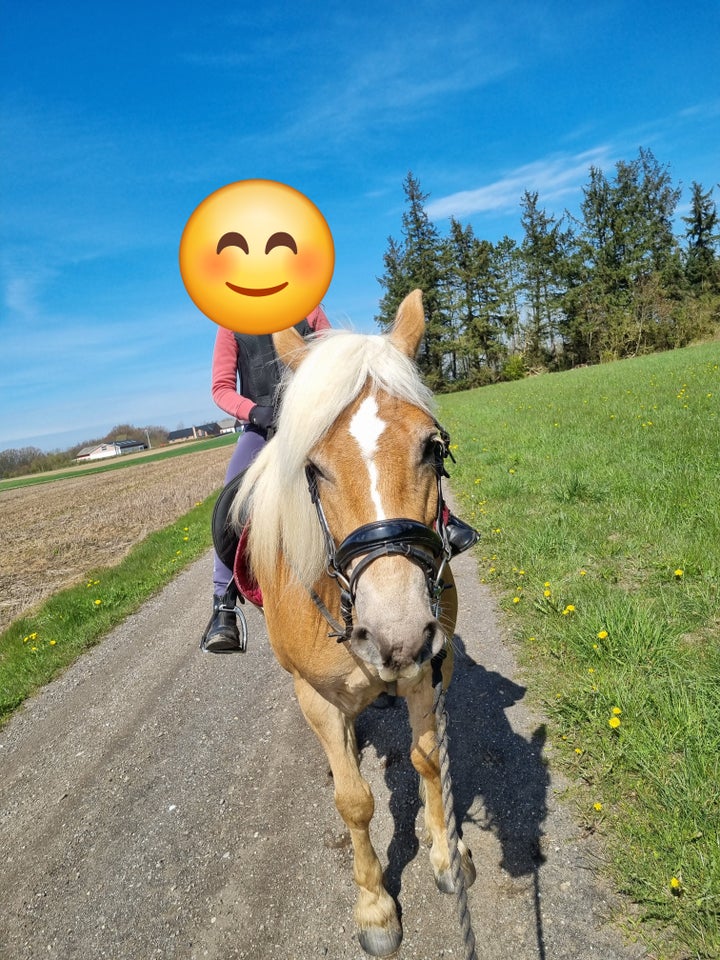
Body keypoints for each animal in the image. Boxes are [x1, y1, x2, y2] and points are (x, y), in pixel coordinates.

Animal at [233, 288, 476, 956]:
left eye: (433, 447)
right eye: (313, 469)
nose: (397, 632)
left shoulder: (426, 673)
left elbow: (427, 761)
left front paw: (447, 854)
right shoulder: (317, 697)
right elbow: (355, 802)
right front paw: (375, 908)